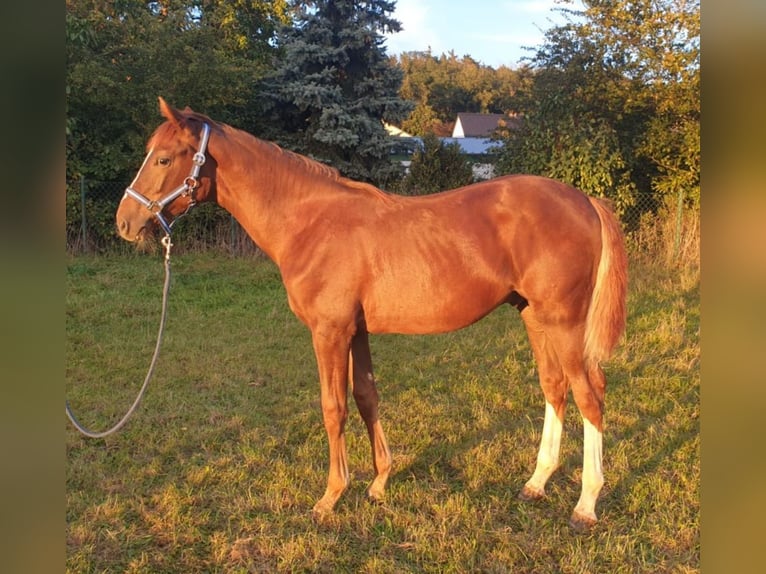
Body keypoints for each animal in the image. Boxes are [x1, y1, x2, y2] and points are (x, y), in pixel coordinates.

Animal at [116, 97, 627, 530]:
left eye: (164, 159)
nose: (125, 222)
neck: (309, 222)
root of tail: (584, 200)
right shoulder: (356, 331)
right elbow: (366, 397)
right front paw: (379, 482)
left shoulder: (330, 332)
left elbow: (333, 407)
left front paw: (330, 496)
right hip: (534, 317)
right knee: (554, 387)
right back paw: (536, 483)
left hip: (564, 321)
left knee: (590, 394)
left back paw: (585, 504)